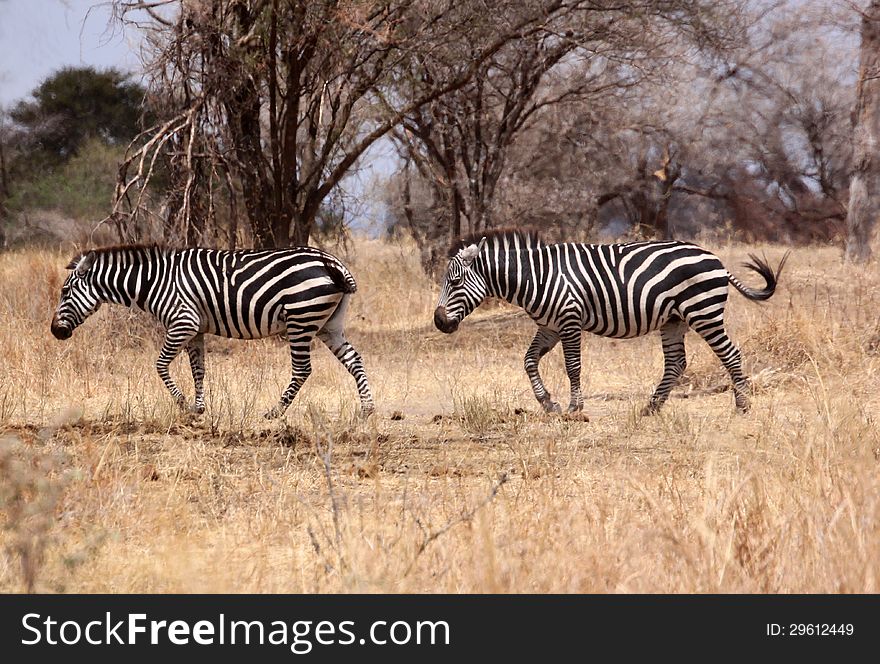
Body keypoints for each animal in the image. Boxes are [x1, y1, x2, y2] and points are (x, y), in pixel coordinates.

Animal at [50, 244, 374, 420]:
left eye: (65, 292)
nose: (55, 332)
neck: (155, 281)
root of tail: (330, 261)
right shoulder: (196, 330)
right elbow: (199, 370)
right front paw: (199, 407)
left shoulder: (183, 321)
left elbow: (160, 365)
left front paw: (183, 404)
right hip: (328, 324)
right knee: (354, 360)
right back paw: (367, 410)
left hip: (301, 318)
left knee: (303, 369)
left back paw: (275, 411)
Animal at [436, 228, 788, 416]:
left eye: (454, 282)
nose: (439, 323)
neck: (536, 277)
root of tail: (716, 259)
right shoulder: (548, 326)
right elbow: (528, 361)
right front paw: (548, 403)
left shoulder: (568, 319)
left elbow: (572, 366)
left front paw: (575, 407)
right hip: (674, 320)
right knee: (676, 363)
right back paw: (651, 407)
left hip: (704, 312)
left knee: (730, 354)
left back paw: (742, 404)